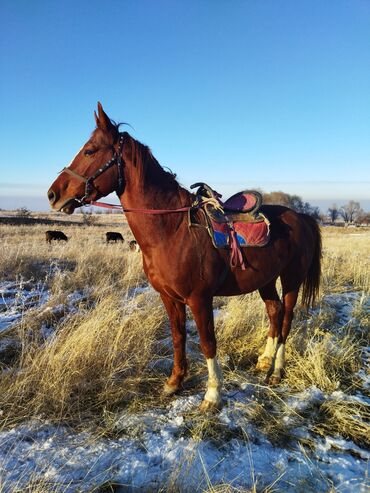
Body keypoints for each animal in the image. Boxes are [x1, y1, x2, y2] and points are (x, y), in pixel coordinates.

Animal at [48, 102, 320, 410]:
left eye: (90, 150)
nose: (53, 195)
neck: (171, 230)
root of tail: (301, 217)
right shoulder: (169, 298)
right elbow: (178, 337)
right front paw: (174, 382)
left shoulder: (199, 299)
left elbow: (207, 342)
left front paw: (213, 394)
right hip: (266, 280)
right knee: (274, 312)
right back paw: (264, 361)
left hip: (291, 280)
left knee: (286, 319)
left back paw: (276, 371)